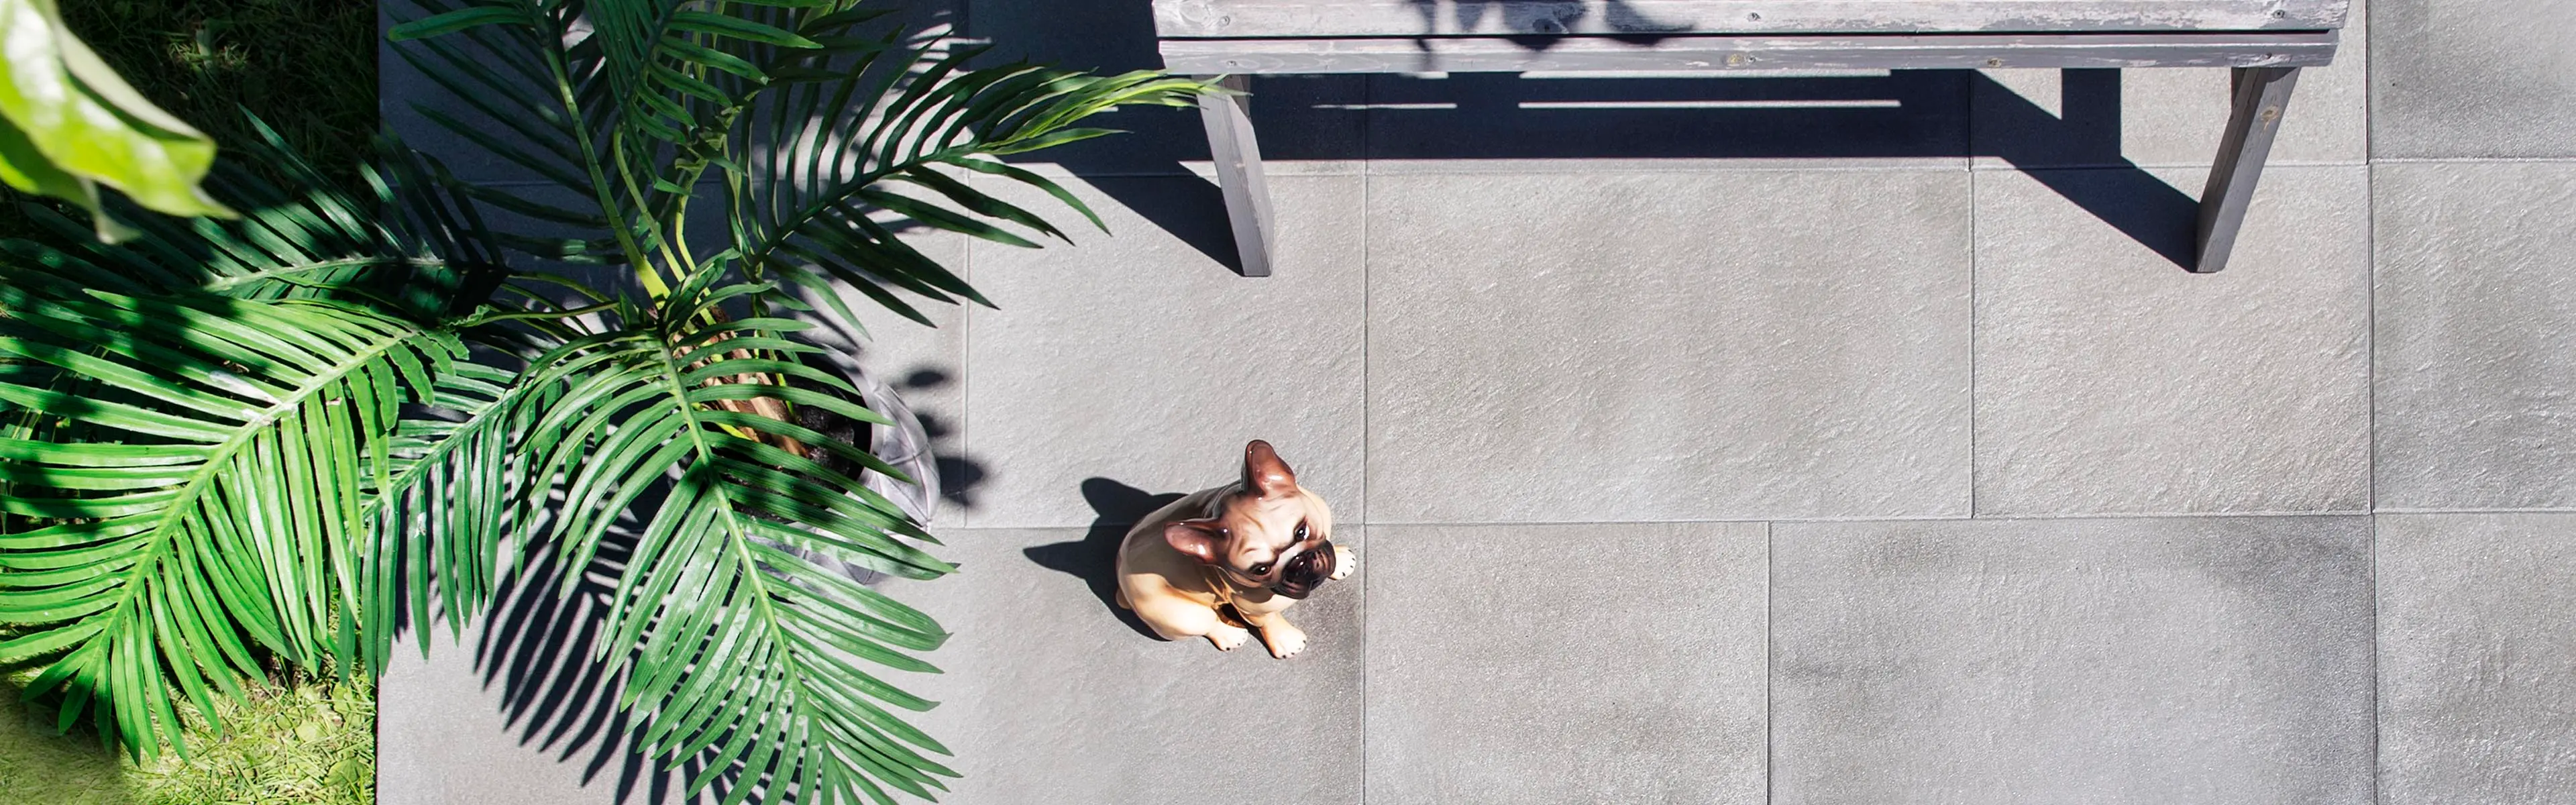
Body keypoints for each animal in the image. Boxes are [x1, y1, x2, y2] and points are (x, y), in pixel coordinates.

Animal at [1118, 441, 1360, 660]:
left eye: (1302, 531)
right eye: (1261, 569)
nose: (1300, 563)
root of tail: (1122, 578)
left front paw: (1342, 560)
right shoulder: (1253, 610)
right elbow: (1269, 621)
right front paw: (1287, 642)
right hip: (1181, 615)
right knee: (1208, 623)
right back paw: (1231, 635)